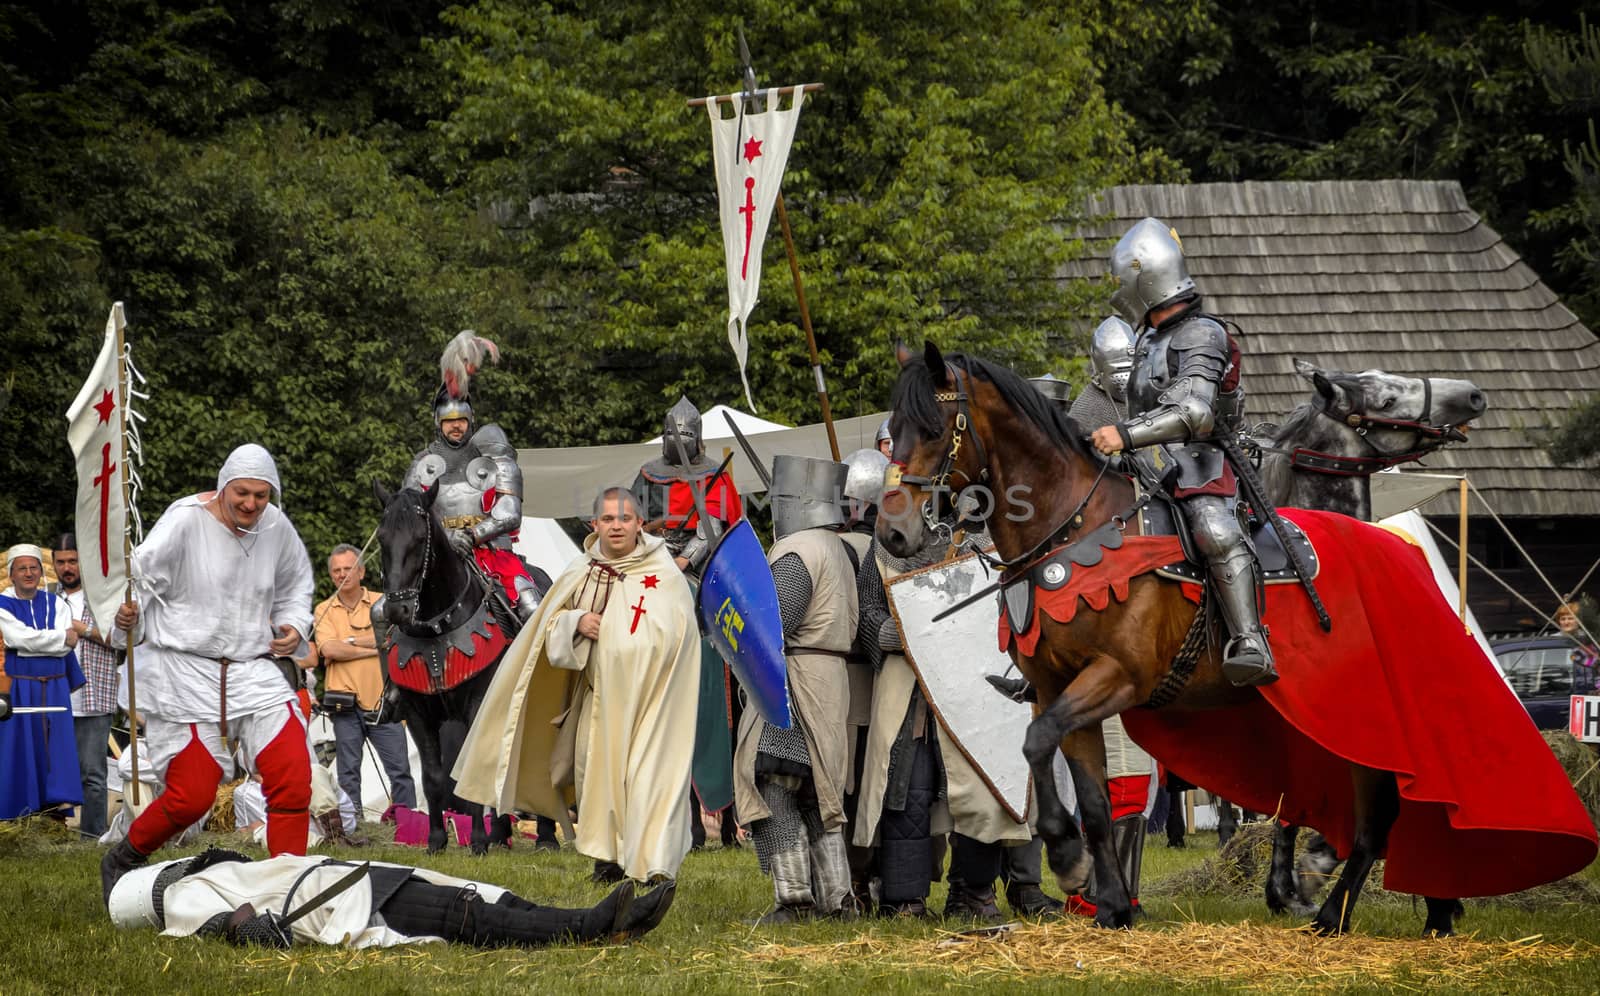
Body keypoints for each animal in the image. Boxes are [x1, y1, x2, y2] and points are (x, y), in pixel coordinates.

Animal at [372, 480, 512, 851]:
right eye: (382, 538)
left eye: (421, 538)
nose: (397, 610)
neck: (437, 624)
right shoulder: (417, 713)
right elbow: (434, 776)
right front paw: (436, 840)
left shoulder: (477, 705)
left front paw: (477, 840)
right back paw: (501, 832)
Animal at [883, 342, 1465, 935]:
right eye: (894, 429)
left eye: (932, 429)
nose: (893, 533)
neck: (1076, 528)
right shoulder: (1055, 690)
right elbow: (1083, 790)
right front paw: (1109, 903)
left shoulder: (1117, 678)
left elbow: (1040, 743)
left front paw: (1067, 857)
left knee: (1384, 808)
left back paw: (1348, 912)